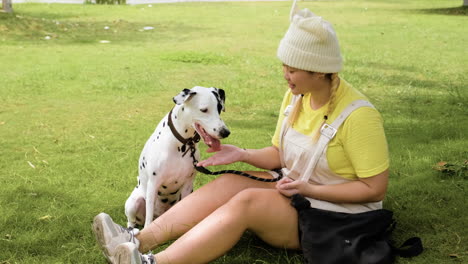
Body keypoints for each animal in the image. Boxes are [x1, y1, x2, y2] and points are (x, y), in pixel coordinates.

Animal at [124, 86, 230, 227]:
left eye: (219, 108)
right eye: (204, 110)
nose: (225, 132)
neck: (181, 144)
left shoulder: (188, 185)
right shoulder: (153, 185)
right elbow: (148, 219)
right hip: (134, 203)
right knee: (131, 221)